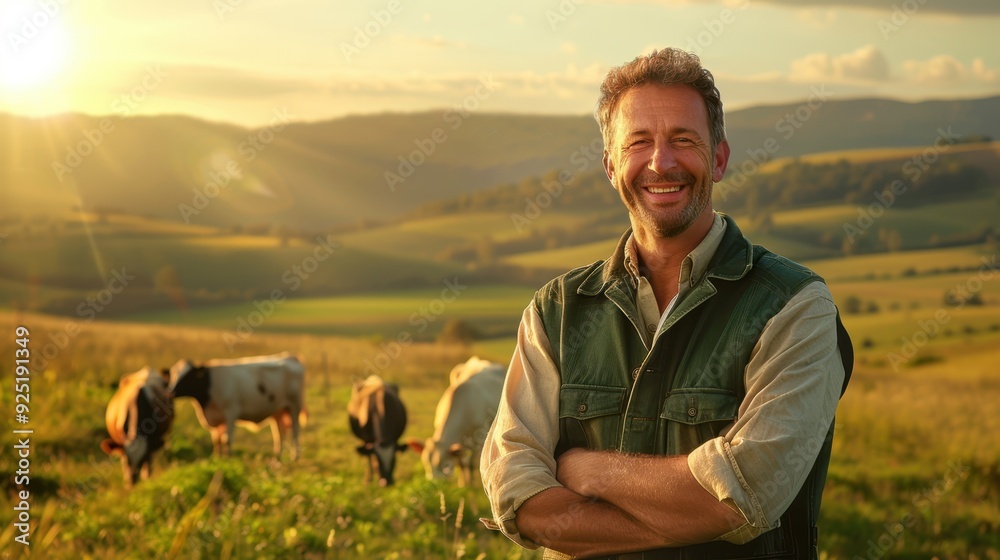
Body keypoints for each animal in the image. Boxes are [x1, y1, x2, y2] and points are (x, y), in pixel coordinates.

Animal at [168, 352, 304, 462]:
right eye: (173, 375)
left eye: (187, 377)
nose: (170, 392)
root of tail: (290, 357)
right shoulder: (216, 417)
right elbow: (216, 441)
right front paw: (216, 458)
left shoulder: (231, 412)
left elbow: (226, 440)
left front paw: (228, 459)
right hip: (277, 411)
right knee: (279, 433)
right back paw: (277, 456)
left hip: (294, 406)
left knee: (295, 430)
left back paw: (295, 457)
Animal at [410, 358, 508, 486]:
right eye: (426, 463)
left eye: (445, 465)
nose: (434, 484)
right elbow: (461, 464)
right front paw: (462, 484)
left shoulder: (479, 441)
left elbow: (471, 464)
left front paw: (471, 484)